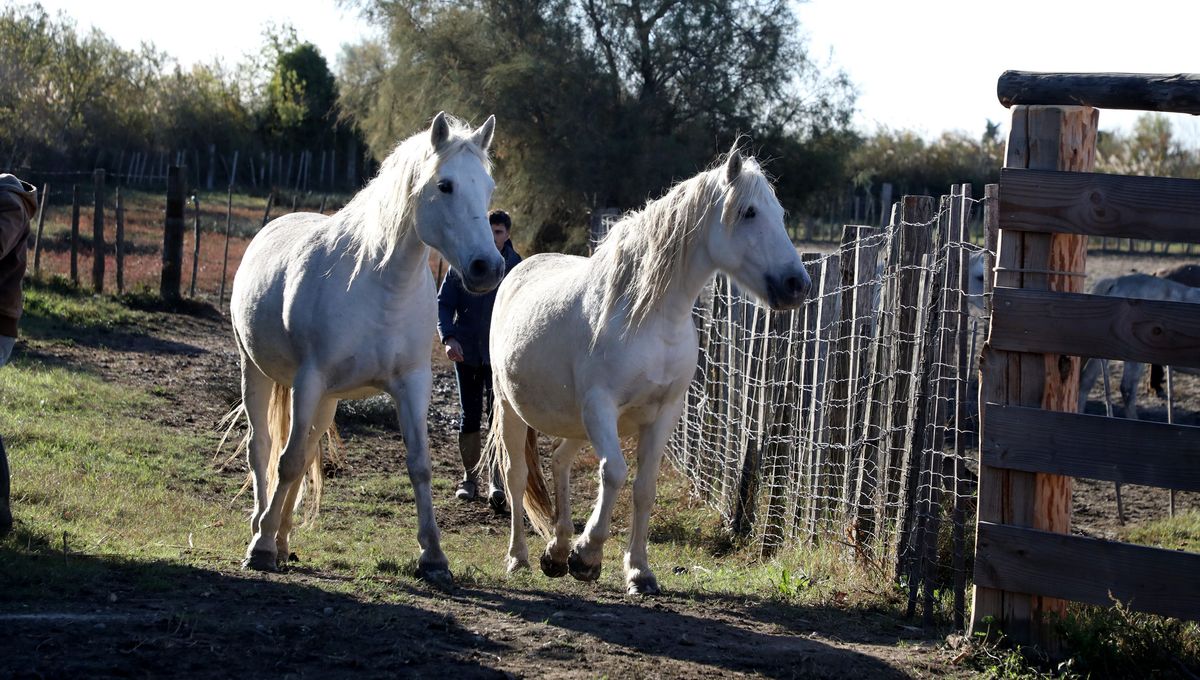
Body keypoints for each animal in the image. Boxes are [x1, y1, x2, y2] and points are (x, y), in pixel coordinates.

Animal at [228, 113, 501, 585]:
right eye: (445, 185)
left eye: (488, 187)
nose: (488, 267)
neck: (379, 283)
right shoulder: (310, 379)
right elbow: (285, 460)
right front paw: (259, 548)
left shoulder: (412, 384)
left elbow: (419, 464)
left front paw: (434, 557)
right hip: (258, 373)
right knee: (262, 448)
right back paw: (262, 529)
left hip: (325, 402)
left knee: (304, 453)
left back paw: (282, 540)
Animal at [482, 146, 811, 592]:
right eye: (748, 212)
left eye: (779, 213)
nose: (798, 284)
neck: (651, 318)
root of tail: (517, 270)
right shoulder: (601, 408)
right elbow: (615, 474)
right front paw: (588, 555)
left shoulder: (663, 414)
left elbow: (643, 488)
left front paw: (638, 570)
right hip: (511, 408)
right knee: (516, 477)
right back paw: (520, 557)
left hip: (576, 424)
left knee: (560, 462)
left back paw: (557, 549)